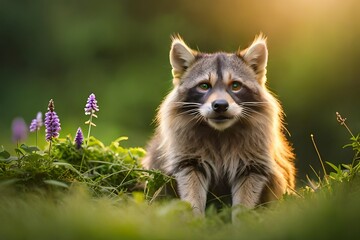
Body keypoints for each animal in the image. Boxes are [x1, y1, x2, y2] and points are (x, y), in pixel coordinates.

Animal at [142, 34, 296, 216]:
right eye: (204, 86)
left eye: (235, 86)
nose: (220, 105)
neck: (220, 131)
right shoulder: (187, 159)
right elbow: (191, 191)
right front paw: (195, 219)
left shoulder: (254, 164)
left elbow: (245, 200)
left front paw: (242, 220)